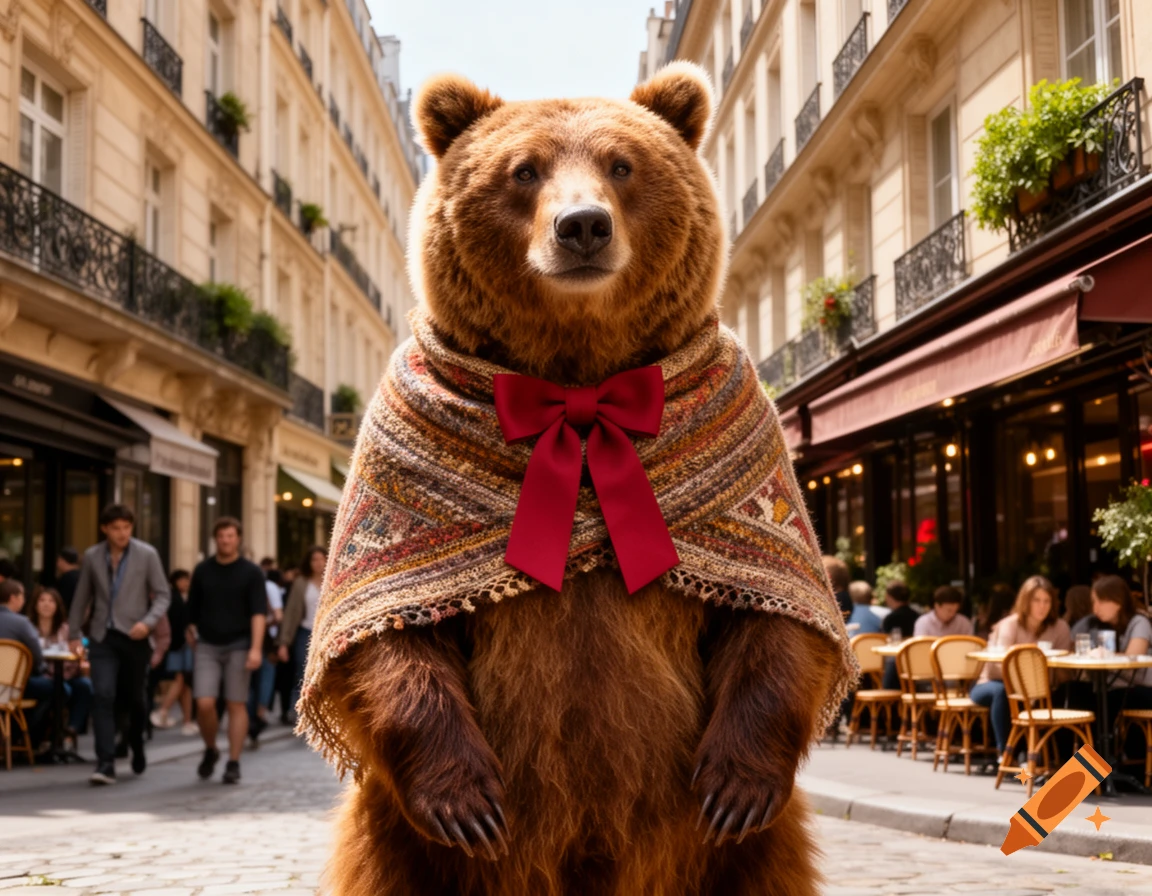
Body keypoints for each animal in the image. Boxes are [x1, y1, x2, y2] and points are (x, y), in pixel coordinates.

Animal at [310, 63, 850, 896]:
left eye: (622, 165)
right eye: (524, 170)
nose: (583, 226)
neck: (578, 382)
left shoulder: (744, 434)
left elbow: (779, 607)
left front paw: (735, 788)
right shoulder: (399, 452)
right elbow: (387, 630)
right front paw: (467, 804)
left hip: (735, 857)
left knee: (761, 863)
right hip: (394, 837)